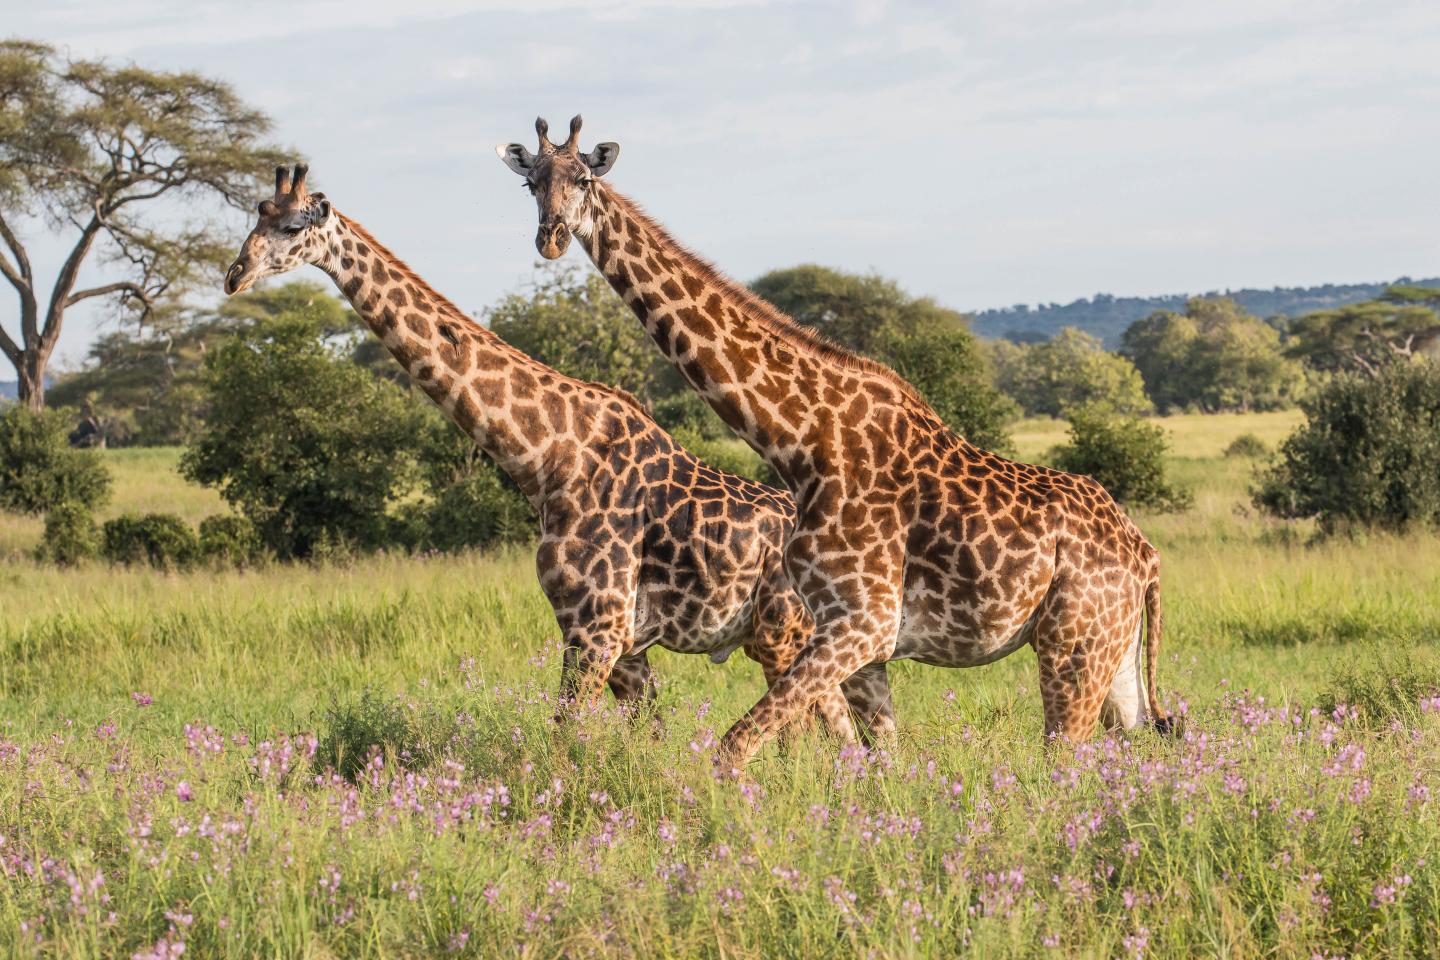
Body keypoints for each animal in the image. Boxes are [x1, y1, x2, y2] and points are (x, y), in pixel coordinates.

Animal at [220, 163, 864, 736]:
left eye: (294, 226)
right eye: (258, 213)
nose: (234, 275)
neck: (544, 455)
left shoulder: (597, 628)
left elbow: (563, 741)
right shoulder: (616, 642)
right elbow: (642, 740)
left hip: (783, 635)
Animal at [501, 118, 1175, 765]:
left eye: (583, 179)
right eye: (531, 183)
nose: (551, 238)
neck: (802, 441)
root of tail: (1146, 555)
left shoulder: (863, 622)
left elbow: (735, 745)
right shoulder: (852, 633)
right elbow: (875, 759)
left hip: (1073, 648)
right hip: (1113, 659)